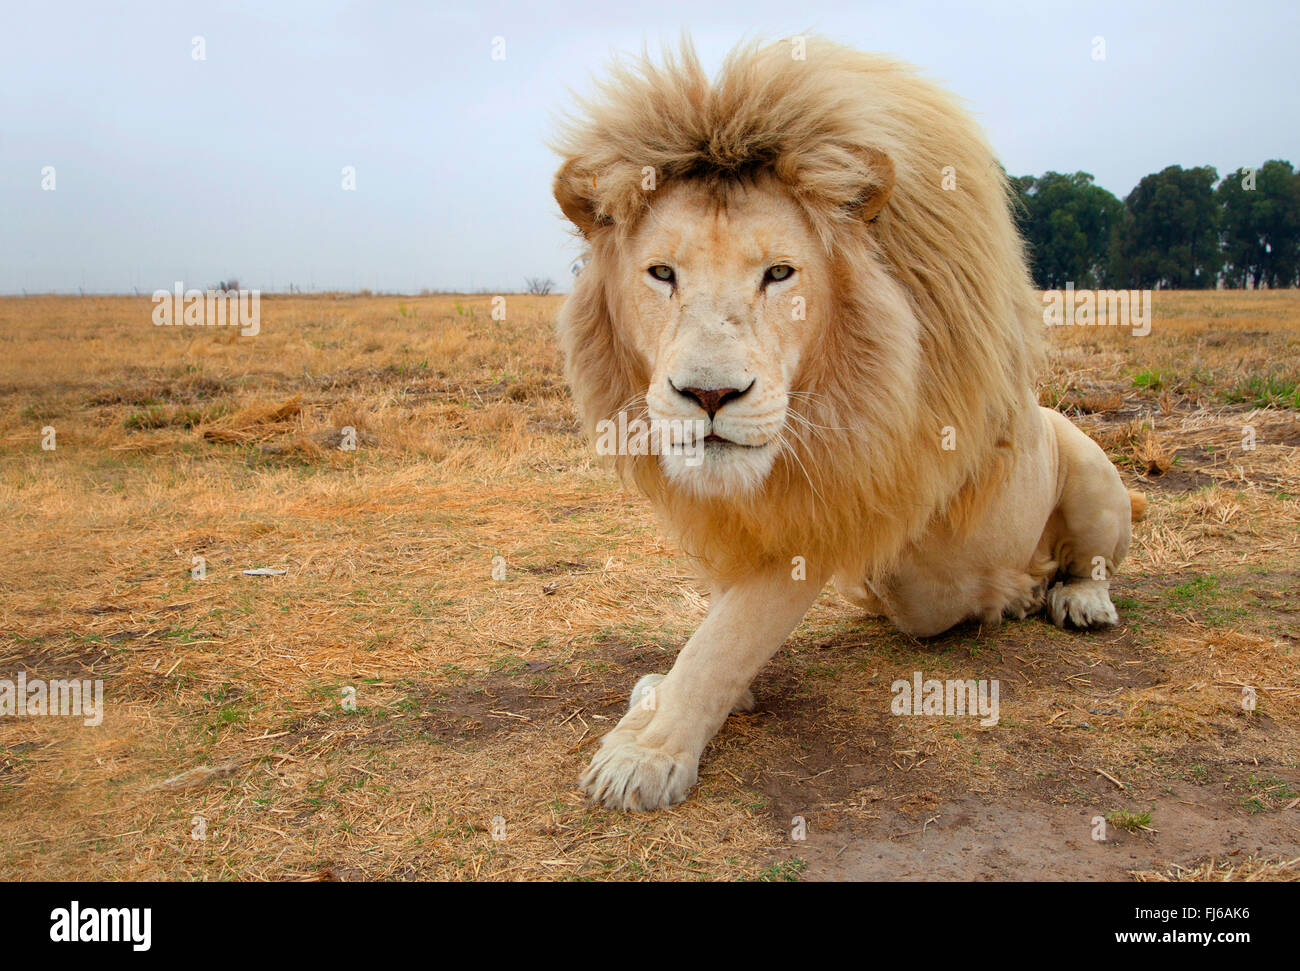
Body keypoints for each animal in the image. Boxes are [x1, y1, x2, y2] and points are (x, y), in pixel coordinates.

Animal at [551, 37, 1143, 811]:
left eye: (780, 273)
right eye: (661, 273)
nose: (710, 394)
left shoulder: (837, 500)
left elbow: (728, 636)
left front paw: (644, 755)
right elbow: (723, 617)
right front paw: (673, 699)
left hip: (1090, 469)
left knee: (1088, 559)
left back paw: (1065, 598)